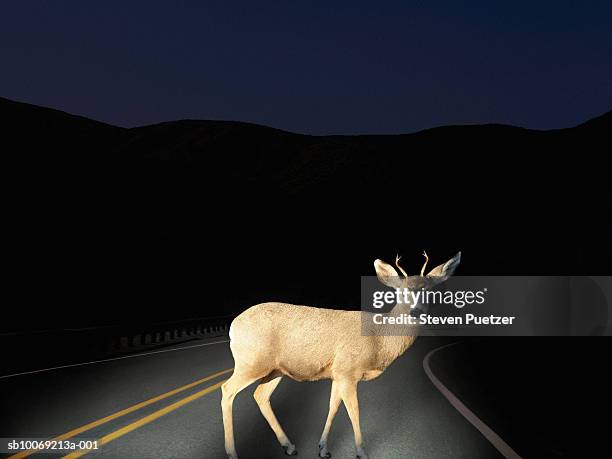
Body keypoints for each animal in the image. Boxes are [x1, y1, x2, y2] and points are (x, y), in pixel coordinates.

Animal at [222, 252, 462, 459]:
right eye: (401, 291)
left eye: (428, 290)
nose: (415, 311)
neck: (378, 338)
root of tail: (233, 326)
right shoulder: (348, 370)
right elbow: (354, 410)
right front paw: (361, 452)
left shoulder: (337, 373)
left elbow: (333, 407)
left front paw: (323, 448)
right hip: (251, 362)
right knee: (227, 389)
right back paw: (233, 453)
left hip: (275, 369)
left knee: (260, 395)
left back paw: (289, 446)